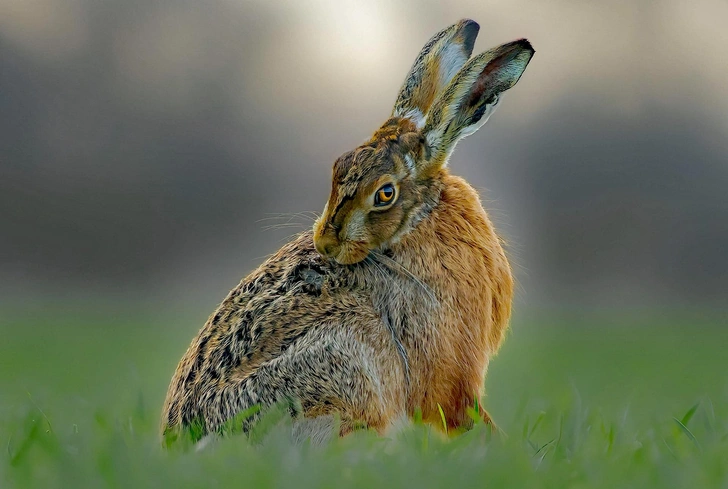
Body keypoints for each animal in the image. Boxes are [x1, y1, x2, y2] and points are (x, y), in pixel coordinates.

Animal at [161, 19, 536, 440]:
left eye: (385, 194)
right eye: (337, 167)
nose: (324, 242)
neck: (414, 226)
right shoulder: (445, 370)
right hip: (348, 357)